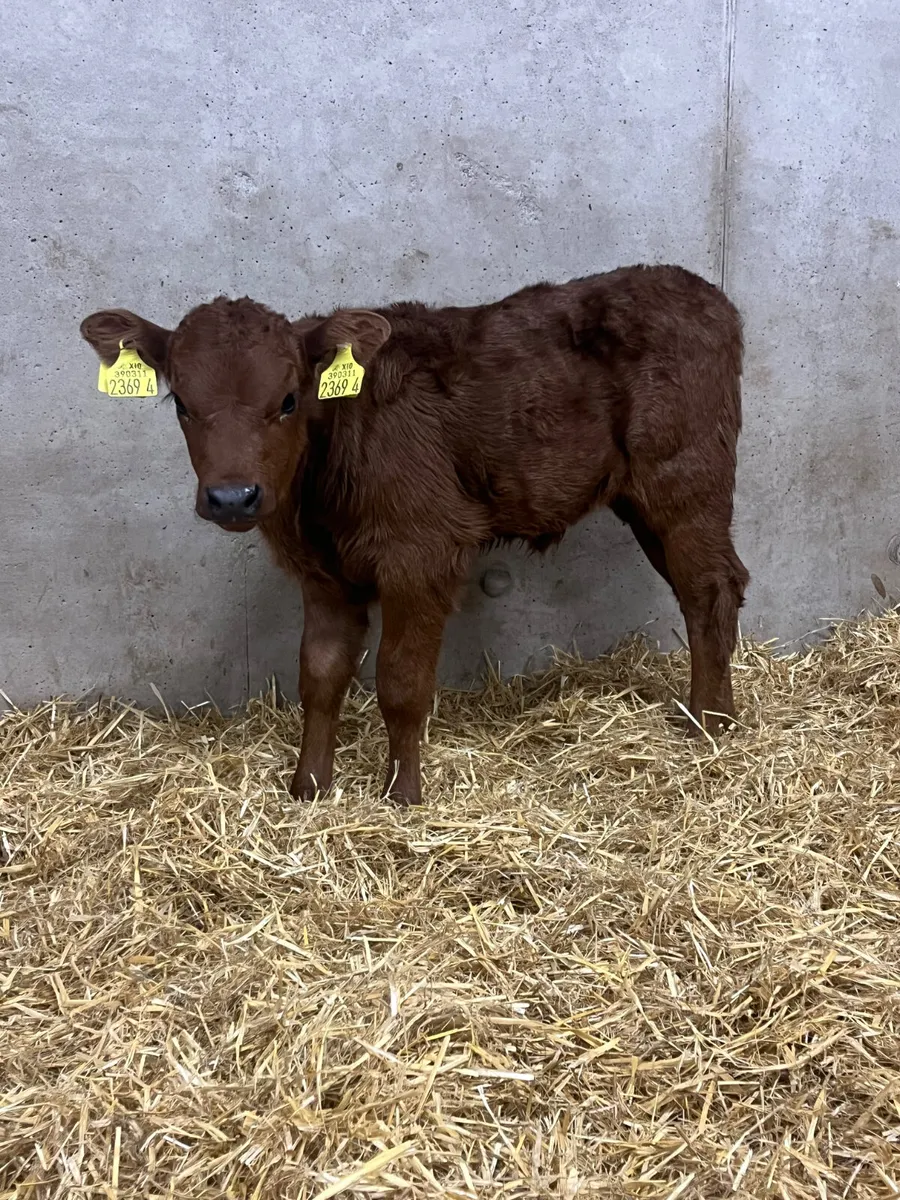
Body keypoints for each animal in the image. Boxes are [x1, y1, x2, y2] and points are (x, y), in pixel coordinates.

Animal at [81, 264, 749, 806]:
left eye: (289, 400)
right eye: (181, 405)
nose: (232, 497)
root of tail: (700, 289)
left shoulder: (422, 551)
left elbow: (401, 681)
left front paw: (402, 794)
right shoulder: (322, 570)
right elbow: (320, 674)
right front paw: (309, 787)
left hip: (685, 476)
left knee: (710, 588)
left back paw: (711, 725)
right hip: (645, 499)